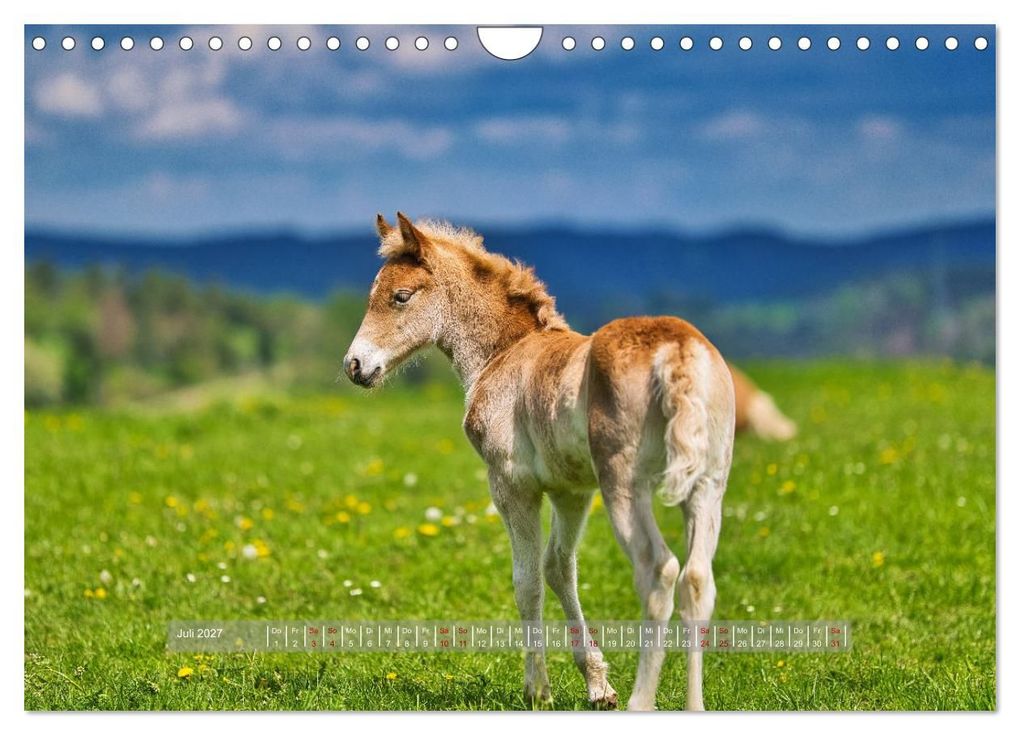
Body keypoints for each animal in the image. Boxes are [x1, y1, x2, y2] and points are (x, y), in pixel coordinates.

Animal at [343, 213, 736, 711]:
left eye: (400, 296)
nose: (355, 365)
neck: (503, 352)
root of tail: (677, 355)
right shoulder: (572, 492)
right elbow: (559, 568)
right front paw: (597, 686)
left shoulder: (512, 487)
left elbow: (526, 580)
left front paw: (537, 690)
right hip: (708, 484)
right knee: (697, 579)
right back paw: (693, 706)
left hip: (626, 486)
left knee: (658, 570)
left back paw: (640, 702)